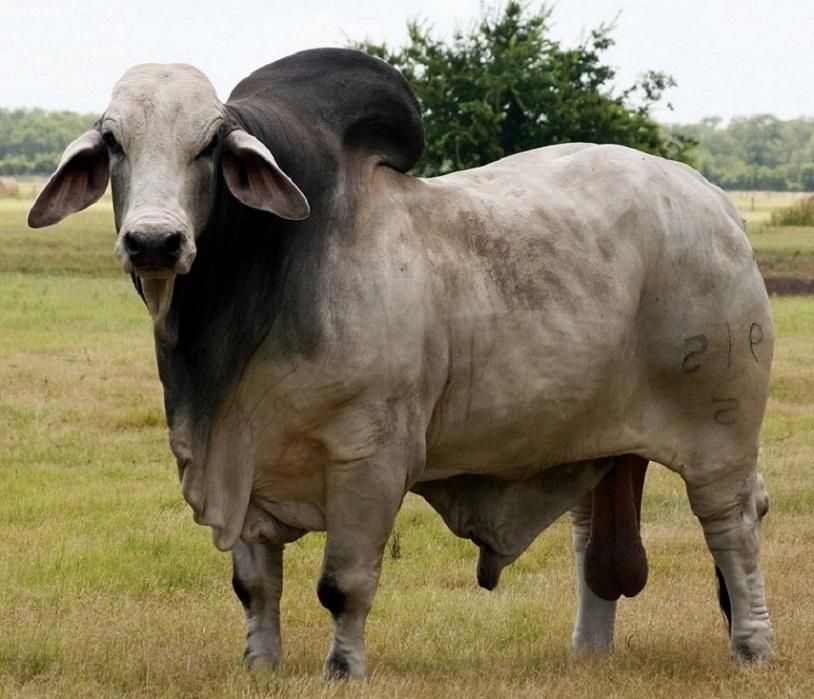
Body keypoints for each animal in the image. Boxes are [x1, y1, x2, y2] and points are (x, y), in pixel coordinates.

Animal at [28, 48, 773, 677]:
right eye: (114, 141)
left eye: (210, 143)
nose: (154, 241)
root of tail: (715, 201)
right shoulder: (239, 464)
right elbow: (255, 585)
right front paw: (261, 665)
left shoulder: (369, 458)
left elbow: (343, 584)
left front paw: (343, 668)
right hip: (594, 444)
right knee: (592, 539)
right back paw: (588, 651)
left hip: (722, 432)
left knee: (734, 524)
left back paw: (752, 644)